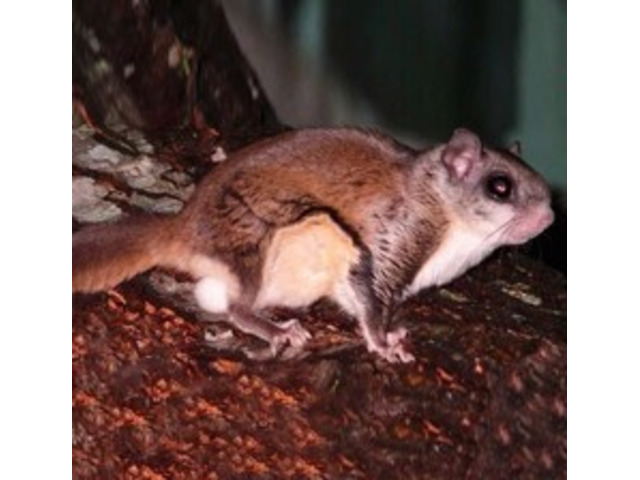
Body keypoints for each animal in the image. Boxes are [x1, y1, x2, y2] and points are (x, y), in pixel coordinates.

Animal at [73, 128, 554, 362]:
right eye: (499, 187)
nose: (549, 217)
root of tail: (183, 228)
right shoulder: (386, 243)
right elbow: (371, 303)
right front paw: (384, 343)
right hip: (258, 235)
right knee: (235, 308)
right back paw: (274, 329)